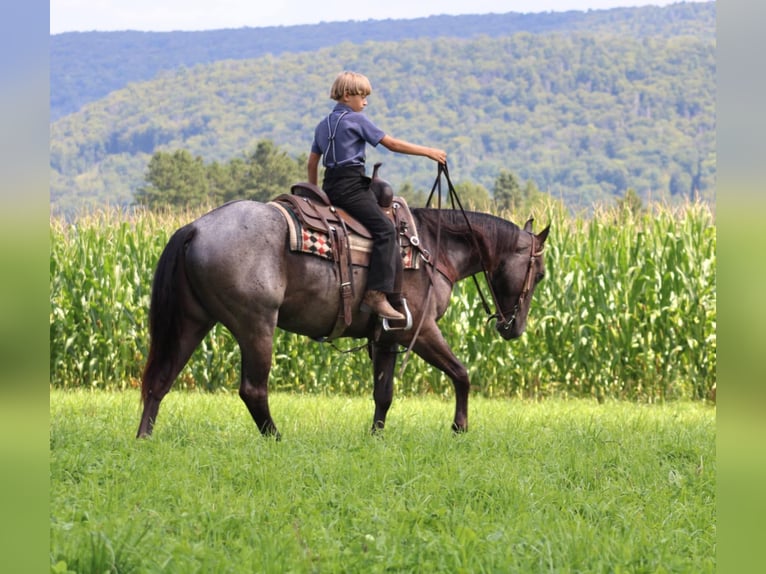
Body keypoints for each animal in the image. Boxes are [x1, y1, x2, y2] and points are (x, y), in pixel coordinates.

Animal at [135, 191, 548, 438]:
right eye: (541, 273)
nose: (514, 328)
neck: (432, 248)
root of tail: (196, 227)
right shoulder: (421, 330)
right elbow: (461, 374)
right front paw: (459, 426)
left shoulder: (386, 338)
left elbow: (384, 393)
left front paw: (376, 436)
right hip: (256, 326)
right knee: (253, 389)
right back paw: (276, 437)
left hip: (192, 323)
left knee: (160, 381)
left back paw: (144, 437)